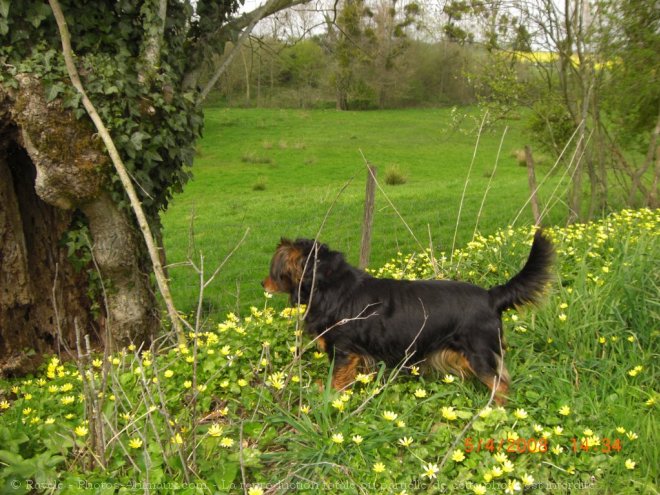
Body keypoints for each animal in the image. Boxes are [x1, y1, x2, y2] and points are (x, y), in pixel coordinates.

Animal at [262, 231, 552, 404]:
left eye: (274, 272)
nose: (262, 283)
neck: (330, 284)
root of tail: (491, 296)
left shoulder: (343, 352)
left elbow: (337, 380)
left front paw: (328, 399)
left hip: (479, 354)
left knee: (500, 386)